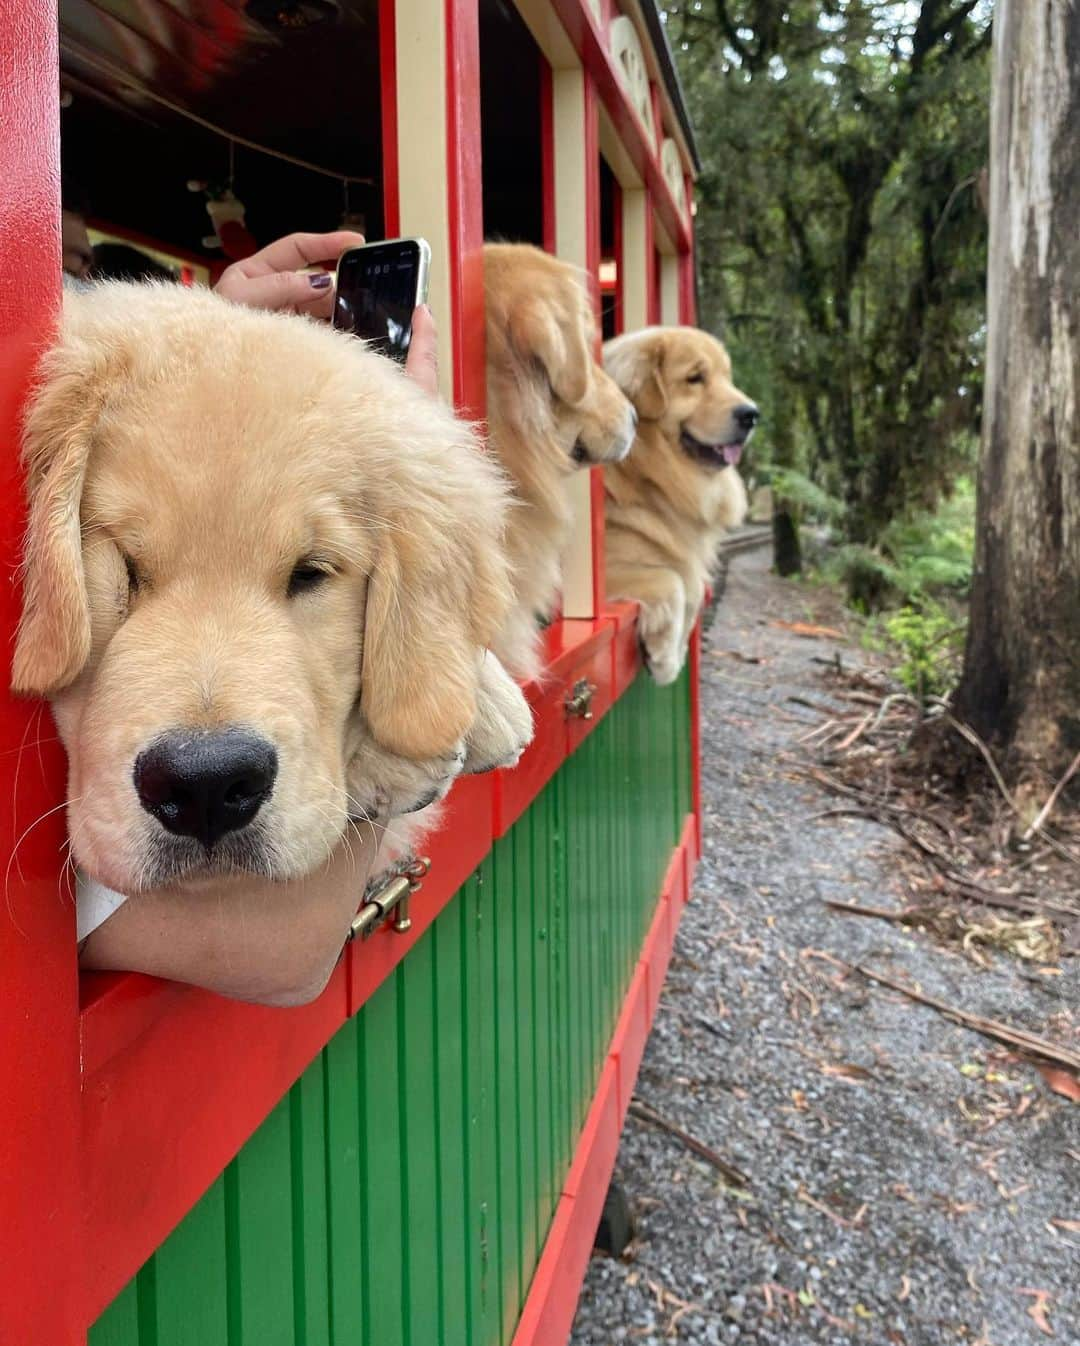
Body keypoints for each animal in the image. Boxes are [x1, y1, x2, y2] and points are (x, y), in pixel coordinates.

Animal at [597, 324, 759, 683]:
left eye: (727, 377)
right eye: (695, 378)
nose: (752, 415)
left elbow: (694, 586)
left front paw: (679, 646)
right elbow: (672, 582)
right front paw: (665, 660)